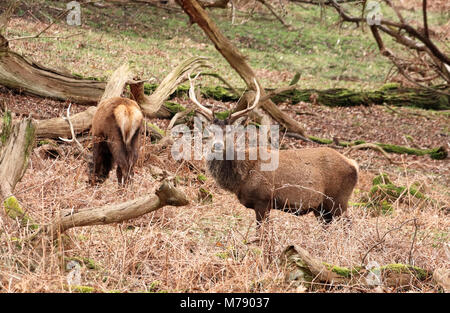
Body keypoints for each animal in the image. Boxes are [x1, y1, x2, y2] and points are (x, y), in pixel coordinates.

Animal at [188, 74, 360, 225]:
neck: (241, 177)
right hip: (321, 208)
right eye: (210, 131)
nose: (217, 145)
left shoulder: (263, 199)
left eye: (229, 132)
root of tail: (354, 164)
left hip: (339, 200)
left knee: (348, 224)